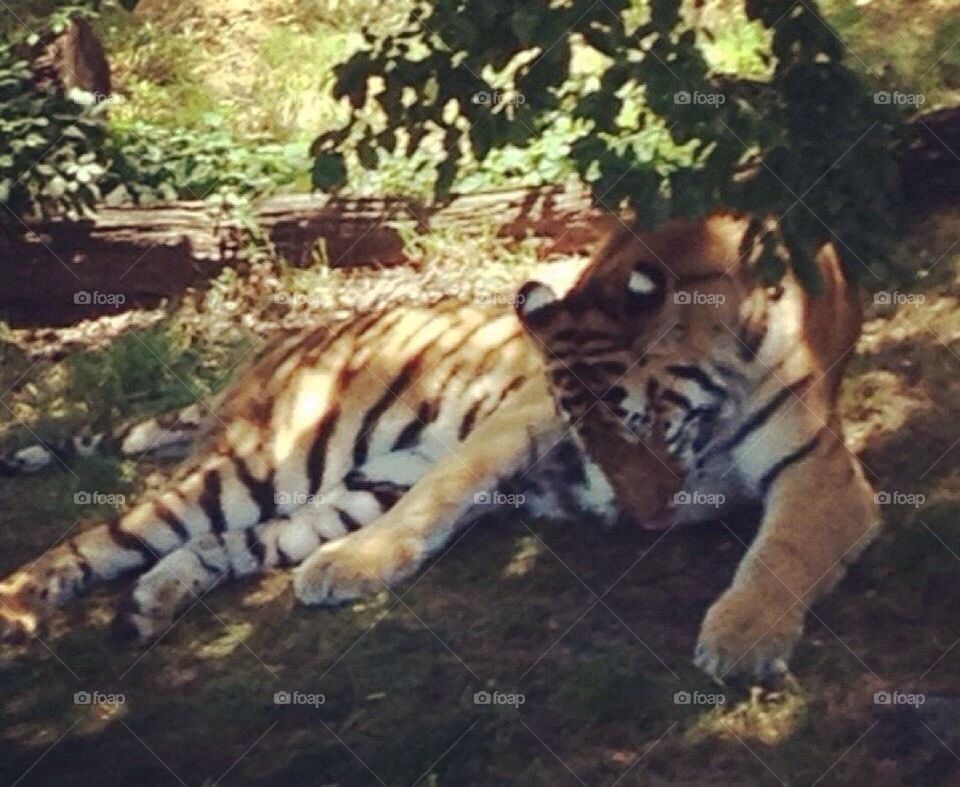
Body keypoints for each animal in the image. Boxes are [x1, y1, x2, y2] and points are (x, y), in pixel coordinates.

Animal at [0, 212, 879, 682]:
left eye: (644, 426)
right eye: (594, 436)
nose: (647, 523)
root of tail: (269, 348)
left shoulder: (821, 468)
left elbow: (784, 552)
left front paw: (743, 637)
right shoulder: (520, 416)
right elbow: (443, 494)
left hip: (330, 493)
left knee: (222, 546)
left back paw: (152, 604)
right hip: (261, 464)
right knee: (96, 538)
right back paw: (18, 612)